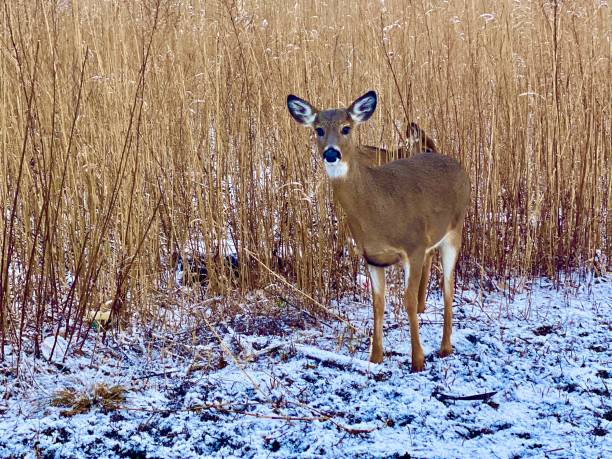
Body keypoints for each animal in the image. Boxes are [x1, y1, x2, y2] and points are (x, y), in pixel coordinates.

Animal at [286, 90, 468, 374]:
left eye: (346, 128)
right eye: (318, 129)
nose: (331, 153)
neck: (378, 208)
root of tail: (454, 162)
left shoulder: (414, 246)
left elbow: (407, 301)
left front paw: (418, 361)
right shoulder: (372, 257)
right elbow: (378, 305)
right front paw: (375, 358)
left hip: (455, 230)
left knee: (449, 285)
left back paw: (445, 347)